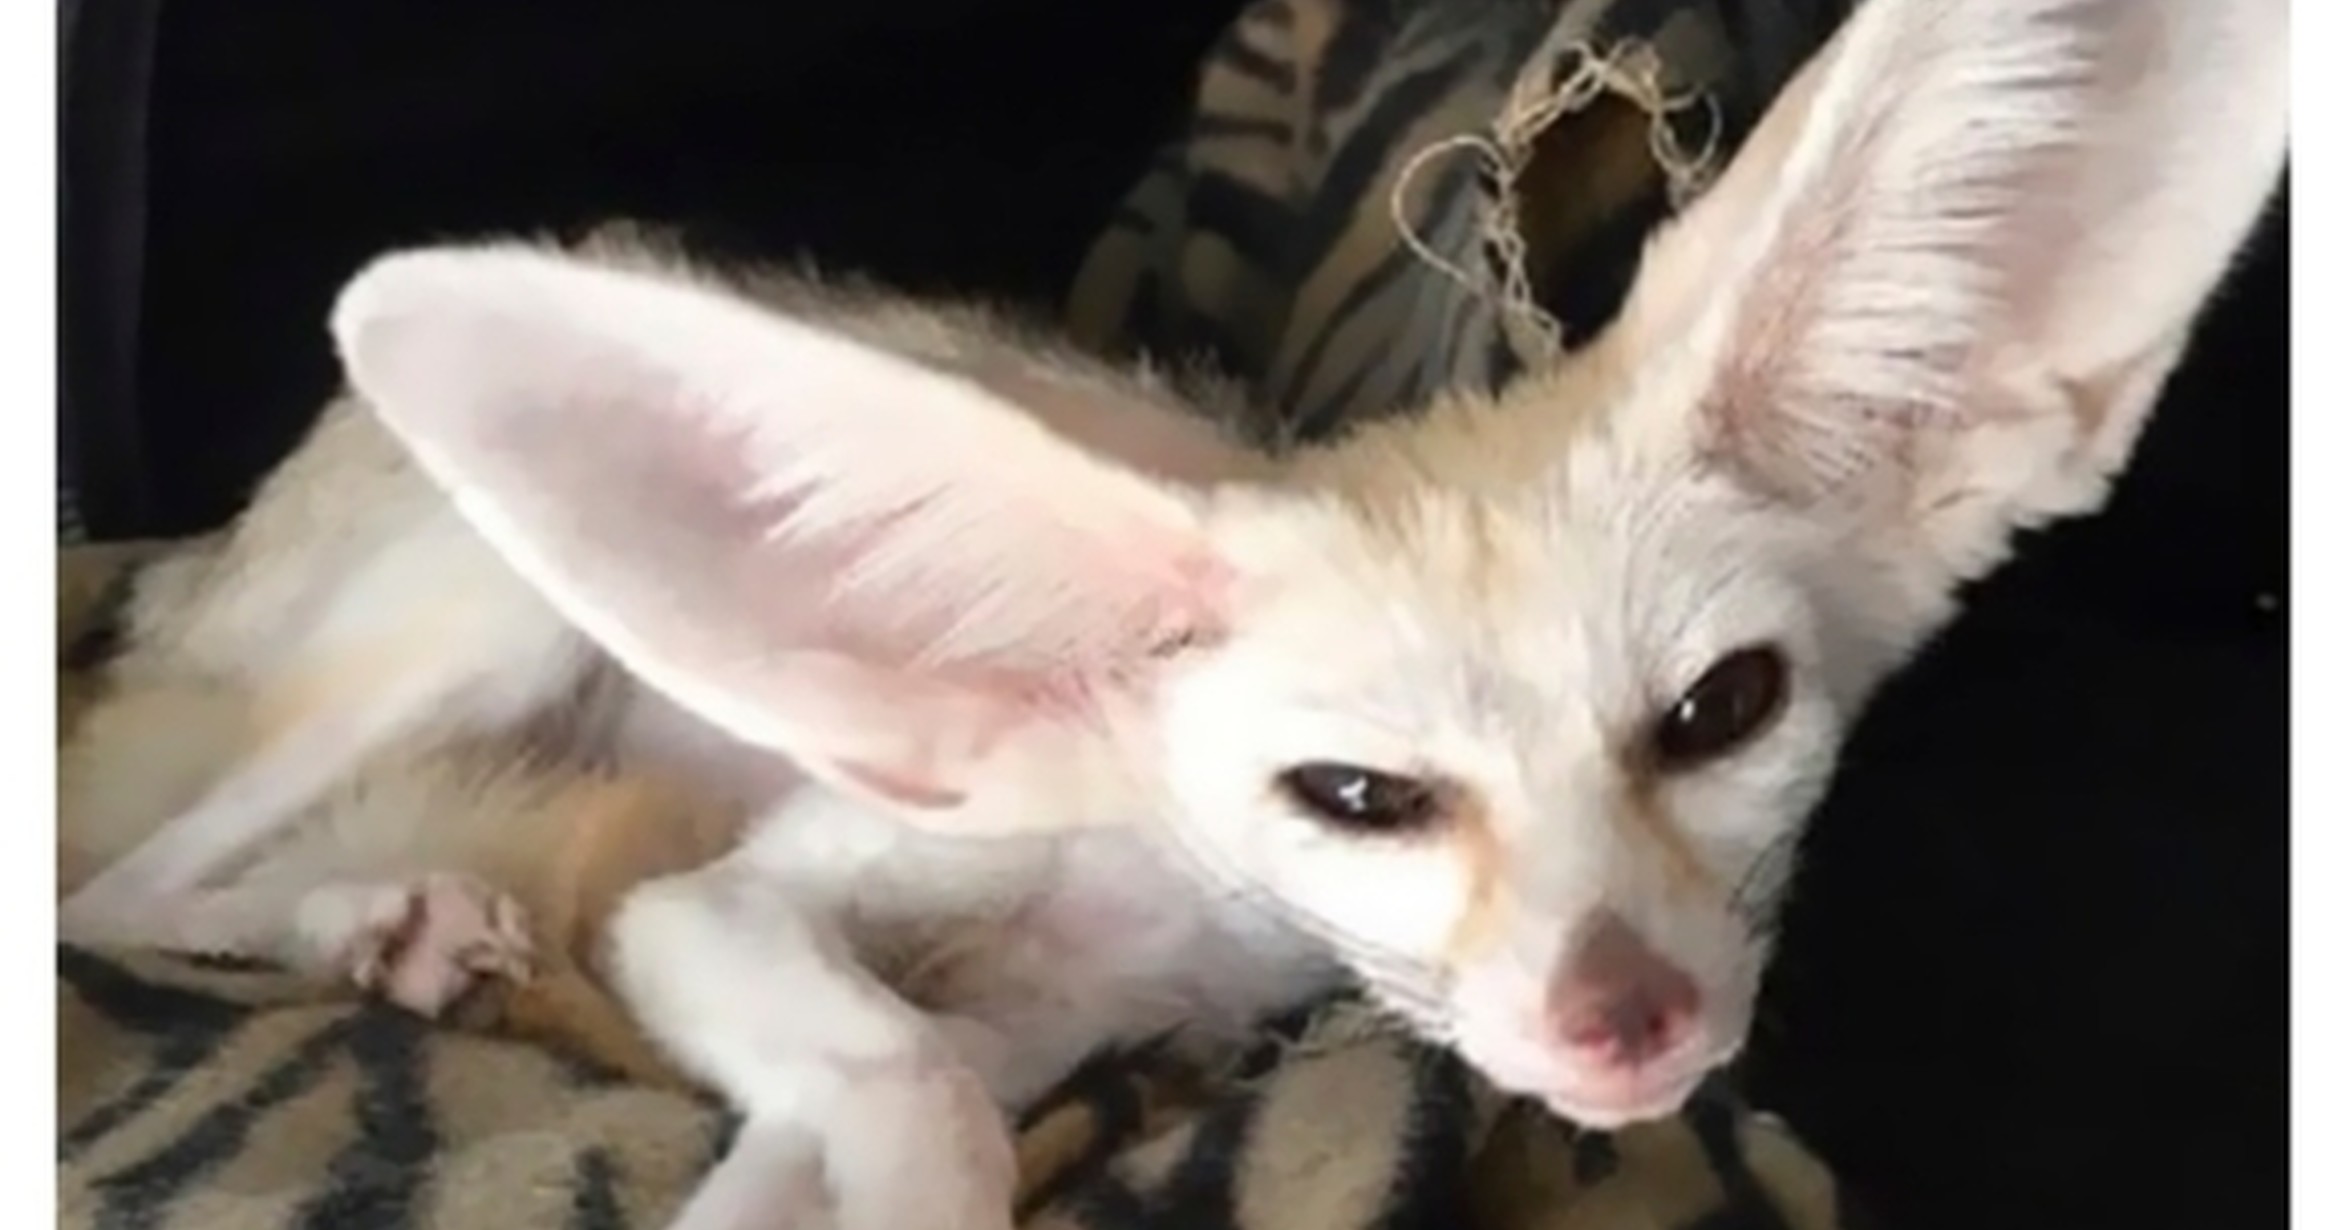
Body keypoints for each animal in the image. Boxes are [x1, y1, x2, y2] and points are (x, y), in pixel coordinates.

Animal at [58, 0, 2287, 1227]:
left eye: (1721, 712)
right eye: (1356, 799)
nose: (1626, 1025)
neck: (1157, 894)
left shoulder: (1045, 1020)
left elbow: (857, 1121)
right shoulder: (737, 908)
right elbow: (902, 1092)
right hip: (482, 615)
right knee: (102, 882)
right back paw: (368, 913)